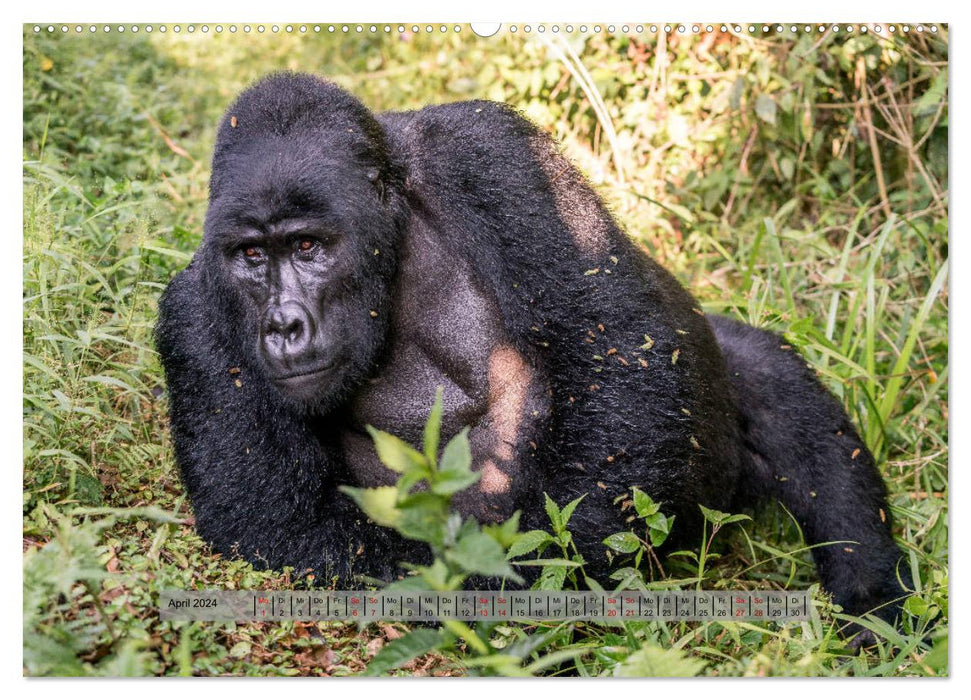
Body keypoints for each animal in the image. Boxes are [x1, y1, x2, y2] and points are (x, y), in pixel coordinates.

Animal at [156, 74, 916, 632]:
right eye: (252, 257)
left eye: (308, 246)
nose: (282, 325)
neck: (388, 233)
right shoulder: (194, 319)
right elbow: (285, 528)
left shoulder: (488, 152)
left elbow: (618, 346)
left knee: (763, 377)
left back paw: (872, 595)